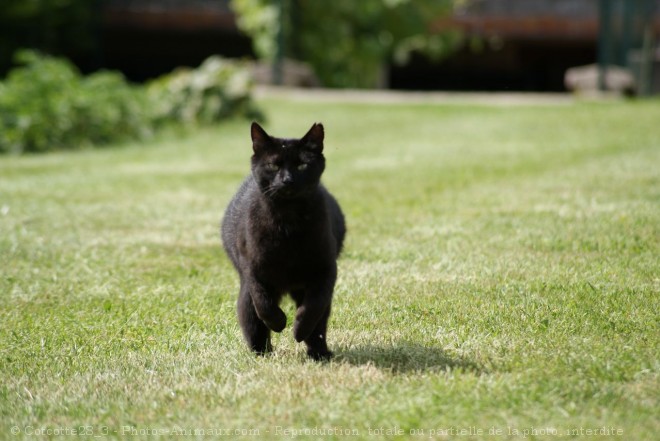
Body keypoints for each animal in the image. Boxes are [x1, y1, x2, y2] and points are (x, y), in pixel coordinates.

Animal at [220, 122, 346, 360]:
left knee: (320, 321)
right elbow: (263, 302)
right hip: (246, 292)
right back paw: (261, 352)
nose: (287, 180)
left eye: (302, 165)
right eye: (273, 165)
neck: (288, 223)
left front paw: (299, 329)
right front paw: (278, 322)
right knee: (250, 316)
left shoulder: (325, 269)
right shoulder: (252, 268)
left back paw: (319, 353)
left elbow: (313, 306)